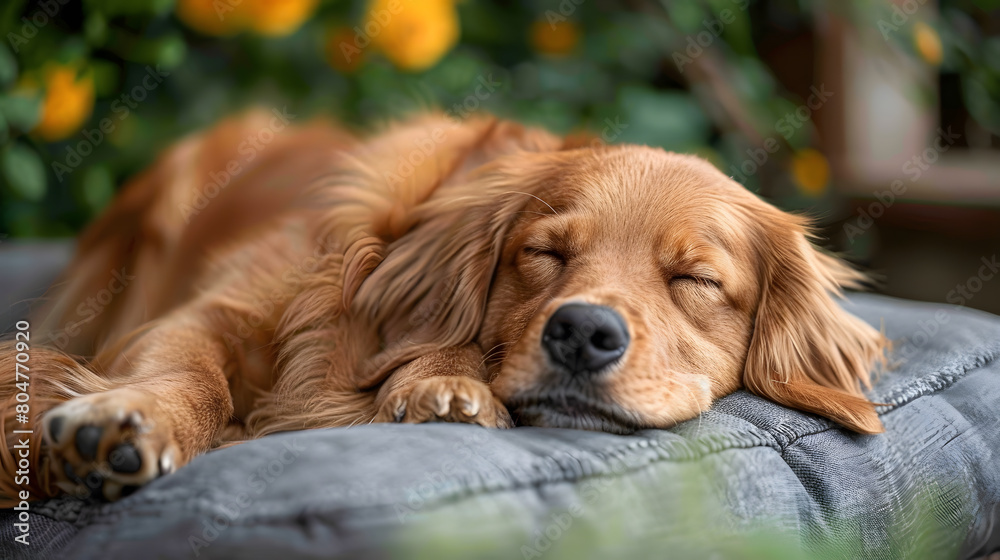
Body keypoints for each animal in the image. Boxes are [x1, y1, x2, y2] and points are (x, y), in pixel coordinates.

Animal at [1, 109, 884, 504]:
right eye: (544, 253)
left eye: (696, 280)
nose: (582, 333)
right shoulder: (213, 312)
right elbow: (191, 371)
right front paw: (124, 424)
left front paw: (440, 384)